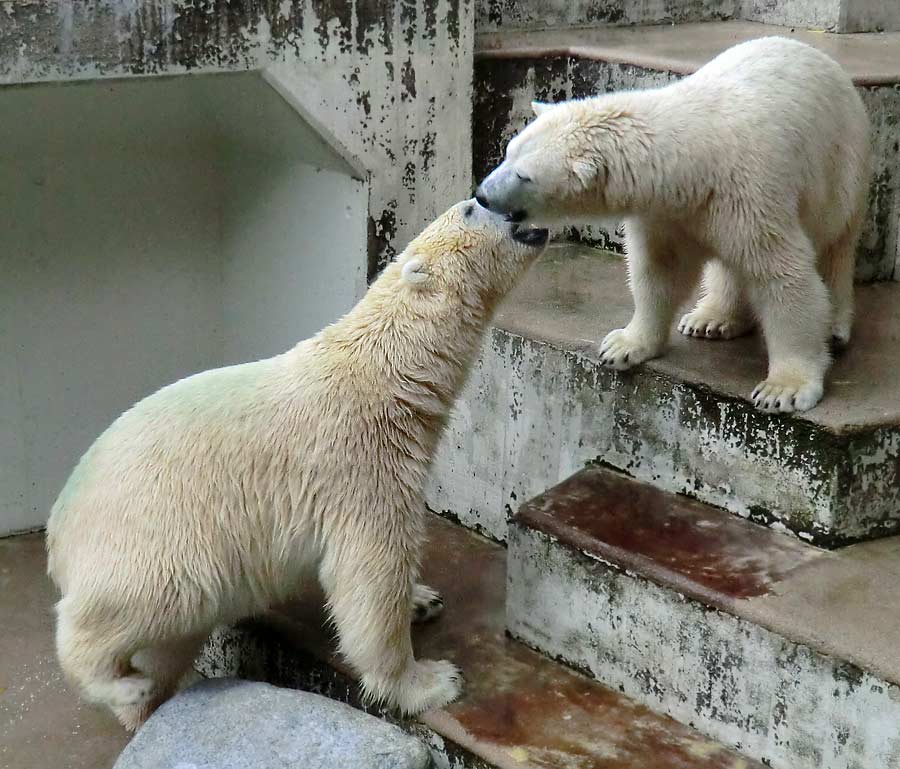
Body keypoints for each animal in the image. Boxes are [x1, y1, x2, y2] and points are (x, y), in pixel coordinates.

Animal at [45, 198, 548, 728]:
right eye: (473, 207)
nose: (502, 202)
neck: (389, 373)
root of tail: (59, 536)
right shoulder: (359, 460)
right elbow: (370, 573)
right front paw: (430, 682)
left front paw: (423, 599)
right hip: (157, 537)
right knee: (150, 600)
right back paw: (122, 686)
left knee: (167, 644)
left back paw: (145, 701)